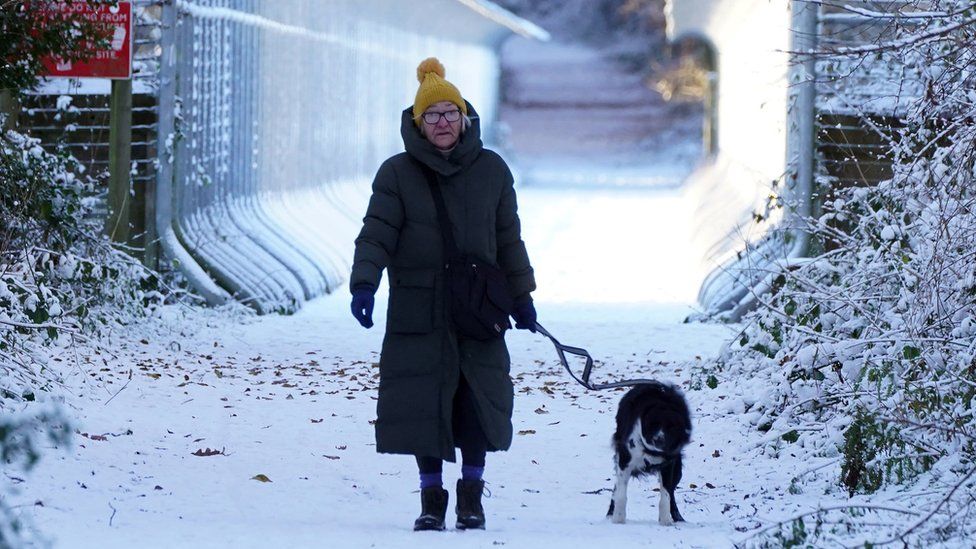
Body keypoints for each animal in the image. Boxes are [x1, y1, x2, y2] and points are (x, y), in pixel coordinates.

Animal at [608, 382, 692, 528]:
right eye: (653, 424)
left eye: (671, 427)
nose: (658, 439)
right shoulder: (625, 460)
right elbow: (621, 493)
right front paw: (618, 518)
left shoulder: (668, 465)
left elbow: (666, 495)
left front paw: (665, 520)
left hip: (677, 470)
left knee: (672, 493)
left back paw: (677, 517)